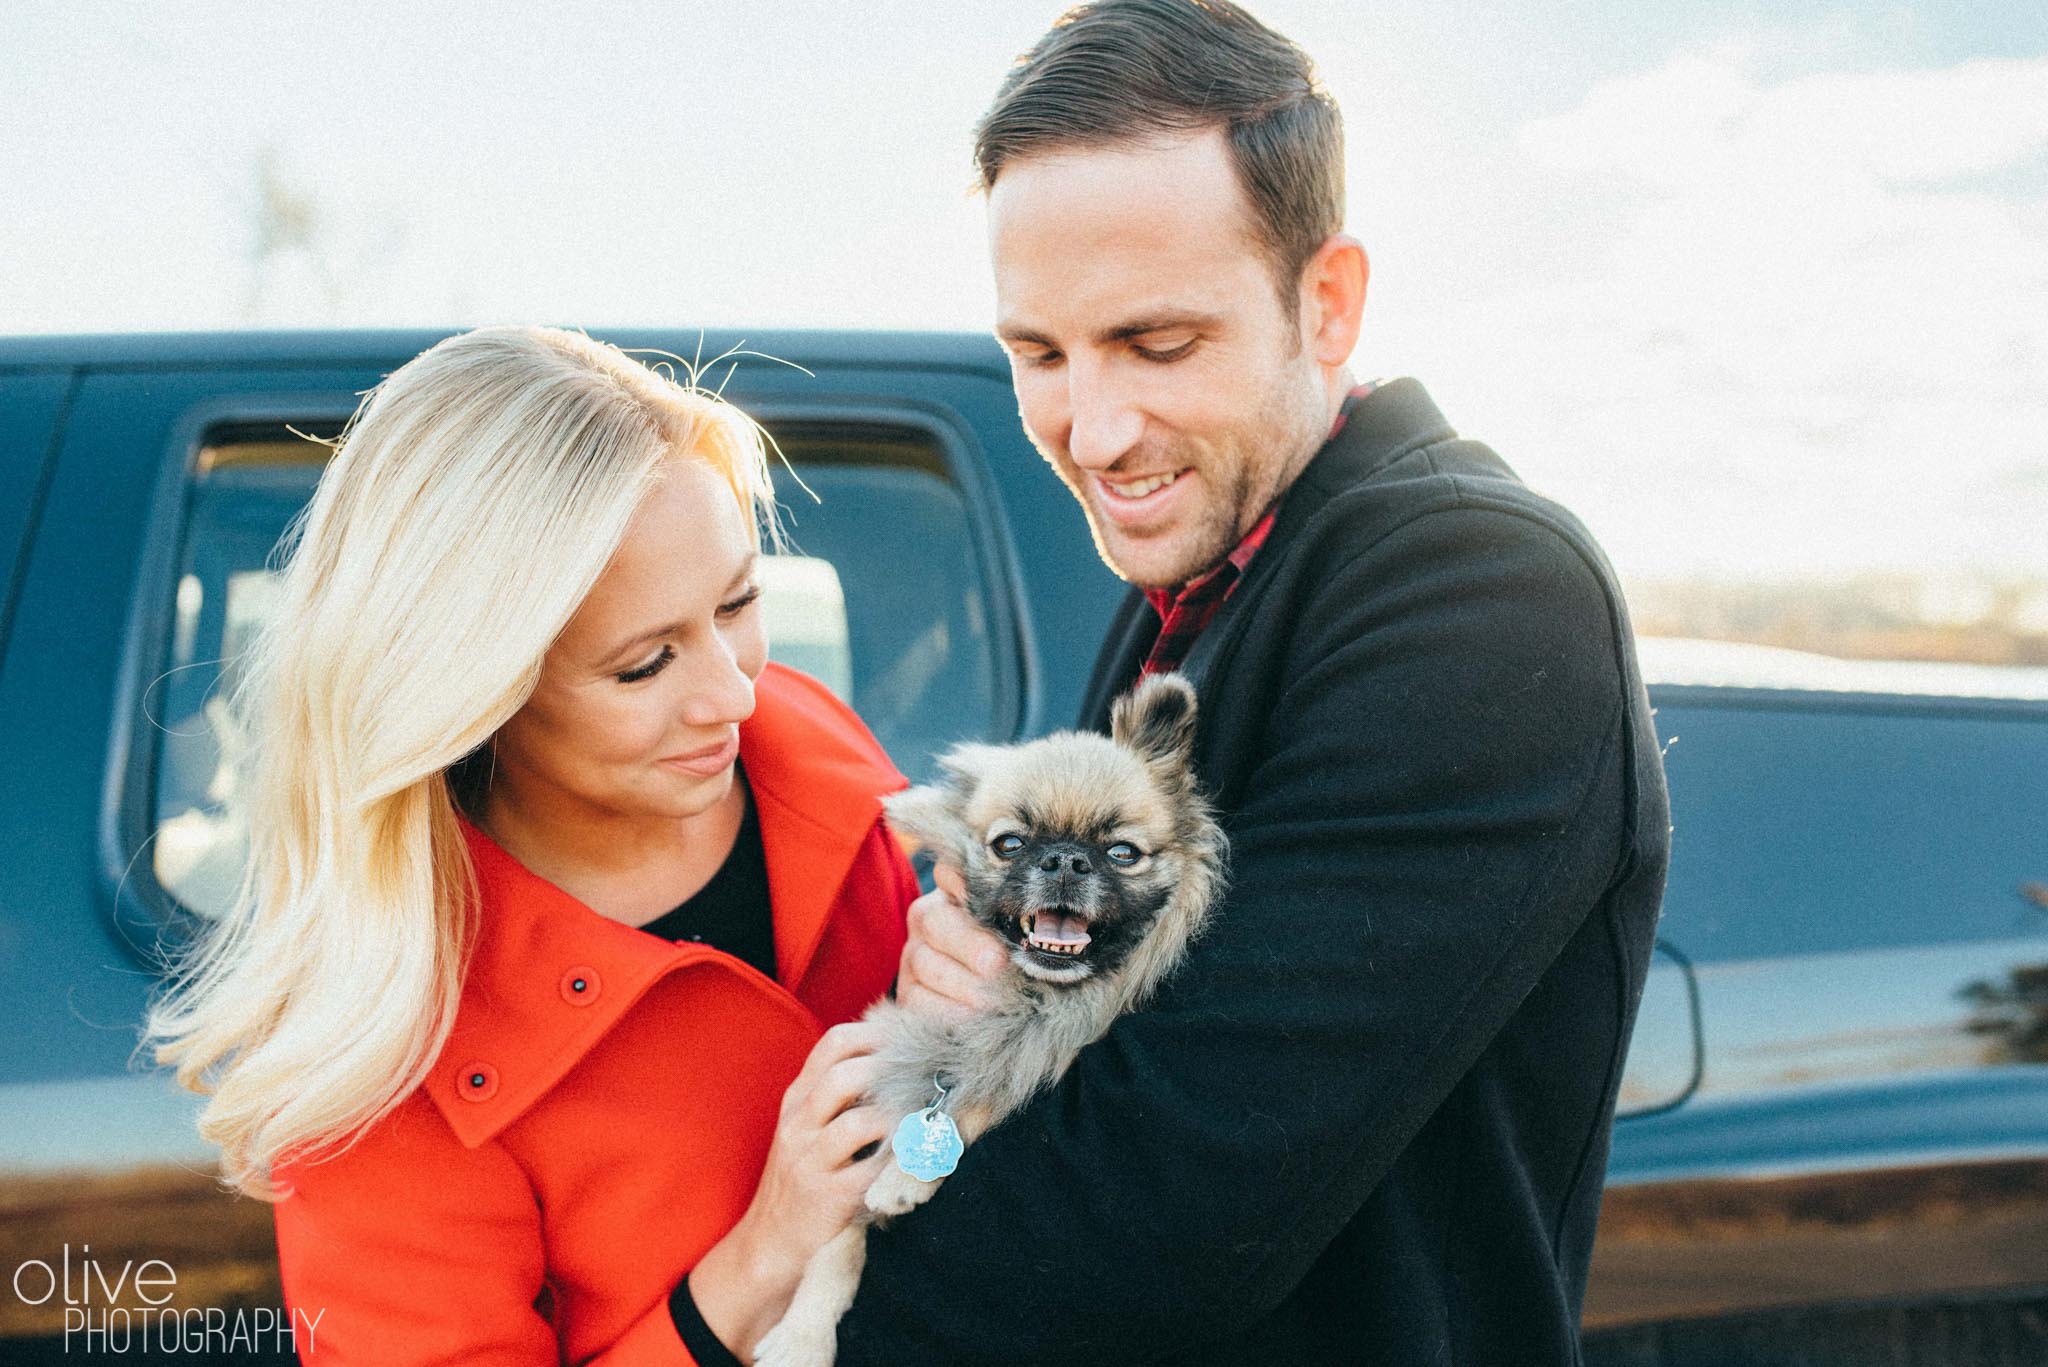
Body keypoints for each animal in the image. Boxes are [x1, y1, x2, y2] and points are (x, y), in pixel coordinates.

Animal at [757, 672, 1220, 1367]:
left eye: (1121, 852)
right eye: (1010, 844)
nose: (1065, 861)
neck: (1031, 999)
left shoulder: (1033, 1054)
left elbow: (979, 1099)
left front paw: (905, 1175)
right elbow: (836, 1246)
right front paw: (800, 1337)